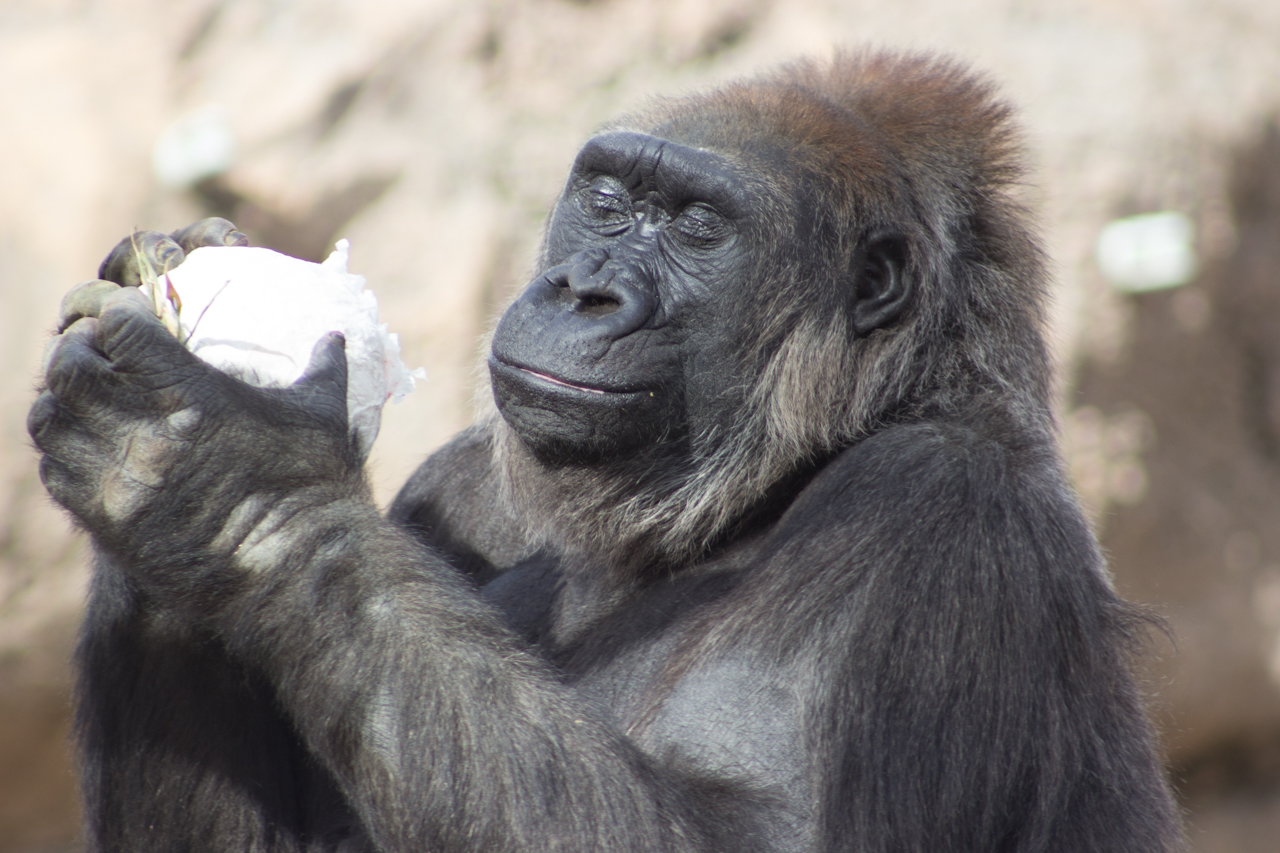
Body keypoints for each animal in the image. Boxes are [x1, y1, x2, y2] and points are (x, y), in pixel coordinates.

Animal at [27, 53, 1177, 850]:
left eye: (699, 226)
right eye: (609, 200)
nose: (582, 288)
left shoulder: (939, 514)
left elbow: (759, 830)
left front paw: (215, 473)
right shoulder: (461, 483)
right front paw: (173, 278)